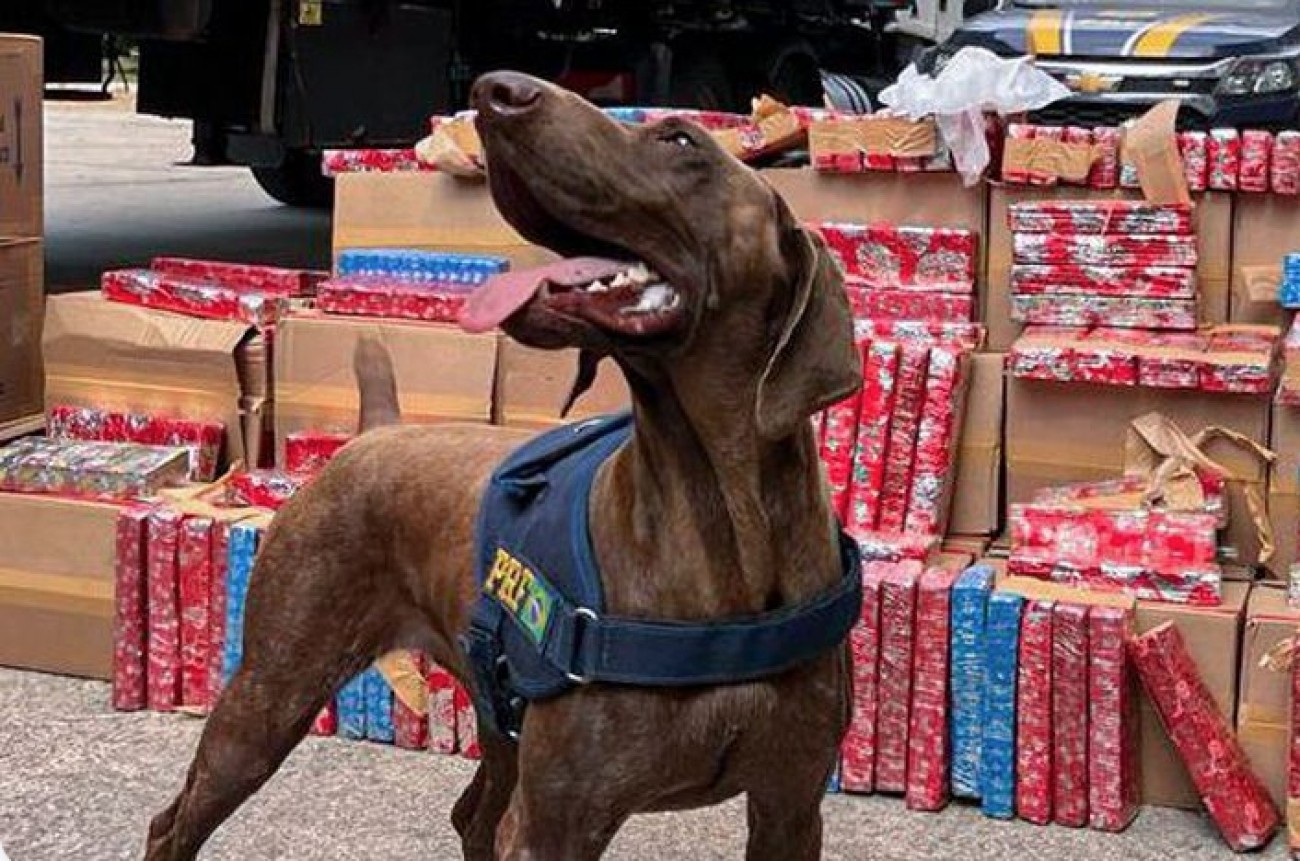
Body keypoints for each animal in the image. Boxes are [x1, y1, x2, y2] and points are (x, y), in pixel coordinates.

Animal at [142, 70, 863, 858]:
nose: (497, 91)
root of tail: (375, 433)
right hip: (273, 689)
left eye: (680, 140)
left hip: (495, 710)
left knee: (472, 814)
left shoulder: (790, 806)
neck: (722, 524)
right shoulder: (558, 819)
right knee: (172, 821)